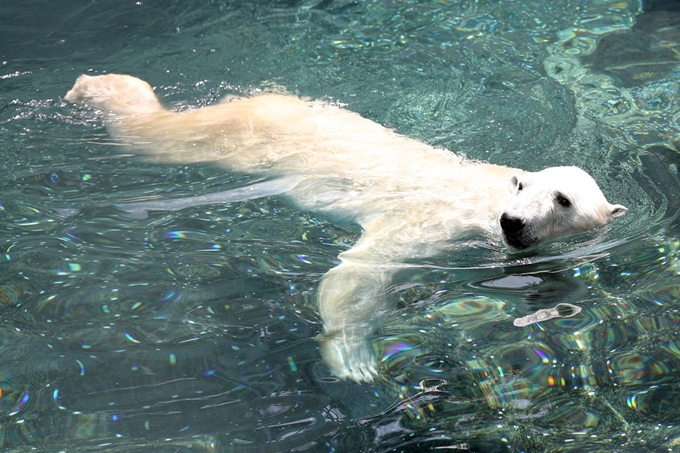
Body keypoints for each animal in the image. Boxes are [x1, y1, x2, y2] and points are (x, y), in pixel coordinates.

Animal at [63, 73, 628, 382]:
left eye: (562, 199)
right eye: (522, 187)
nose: (513, 223)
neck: (480, 202)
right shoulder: (430, 223)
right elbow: (361, 269)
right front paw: (353, 357)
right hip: (234, 135)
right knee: (156, 134)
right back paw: (92, 87)